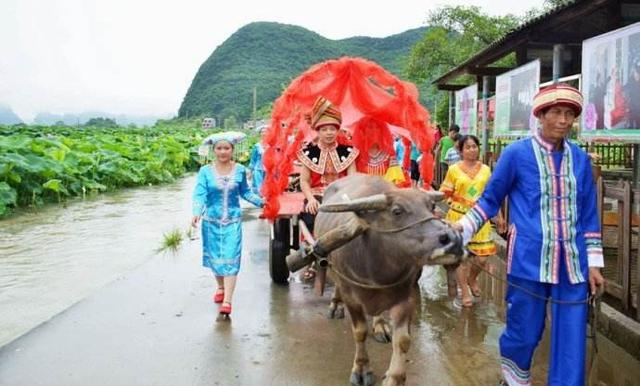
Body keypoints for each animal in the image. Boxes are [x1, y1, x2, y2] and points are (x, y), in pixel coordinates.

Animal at [316, 174, 462, 386]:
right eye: (397, 211)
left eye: (432, 206)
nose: (454, 239)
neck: (377, 268)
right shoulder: (351, 297)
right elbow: (359, 332)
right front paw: (361, 369)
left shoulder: (406, 297)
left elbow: (403, 340)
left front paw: (395, 377)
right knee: (335, 282)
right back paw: (336, 305)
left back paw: (380, 326)